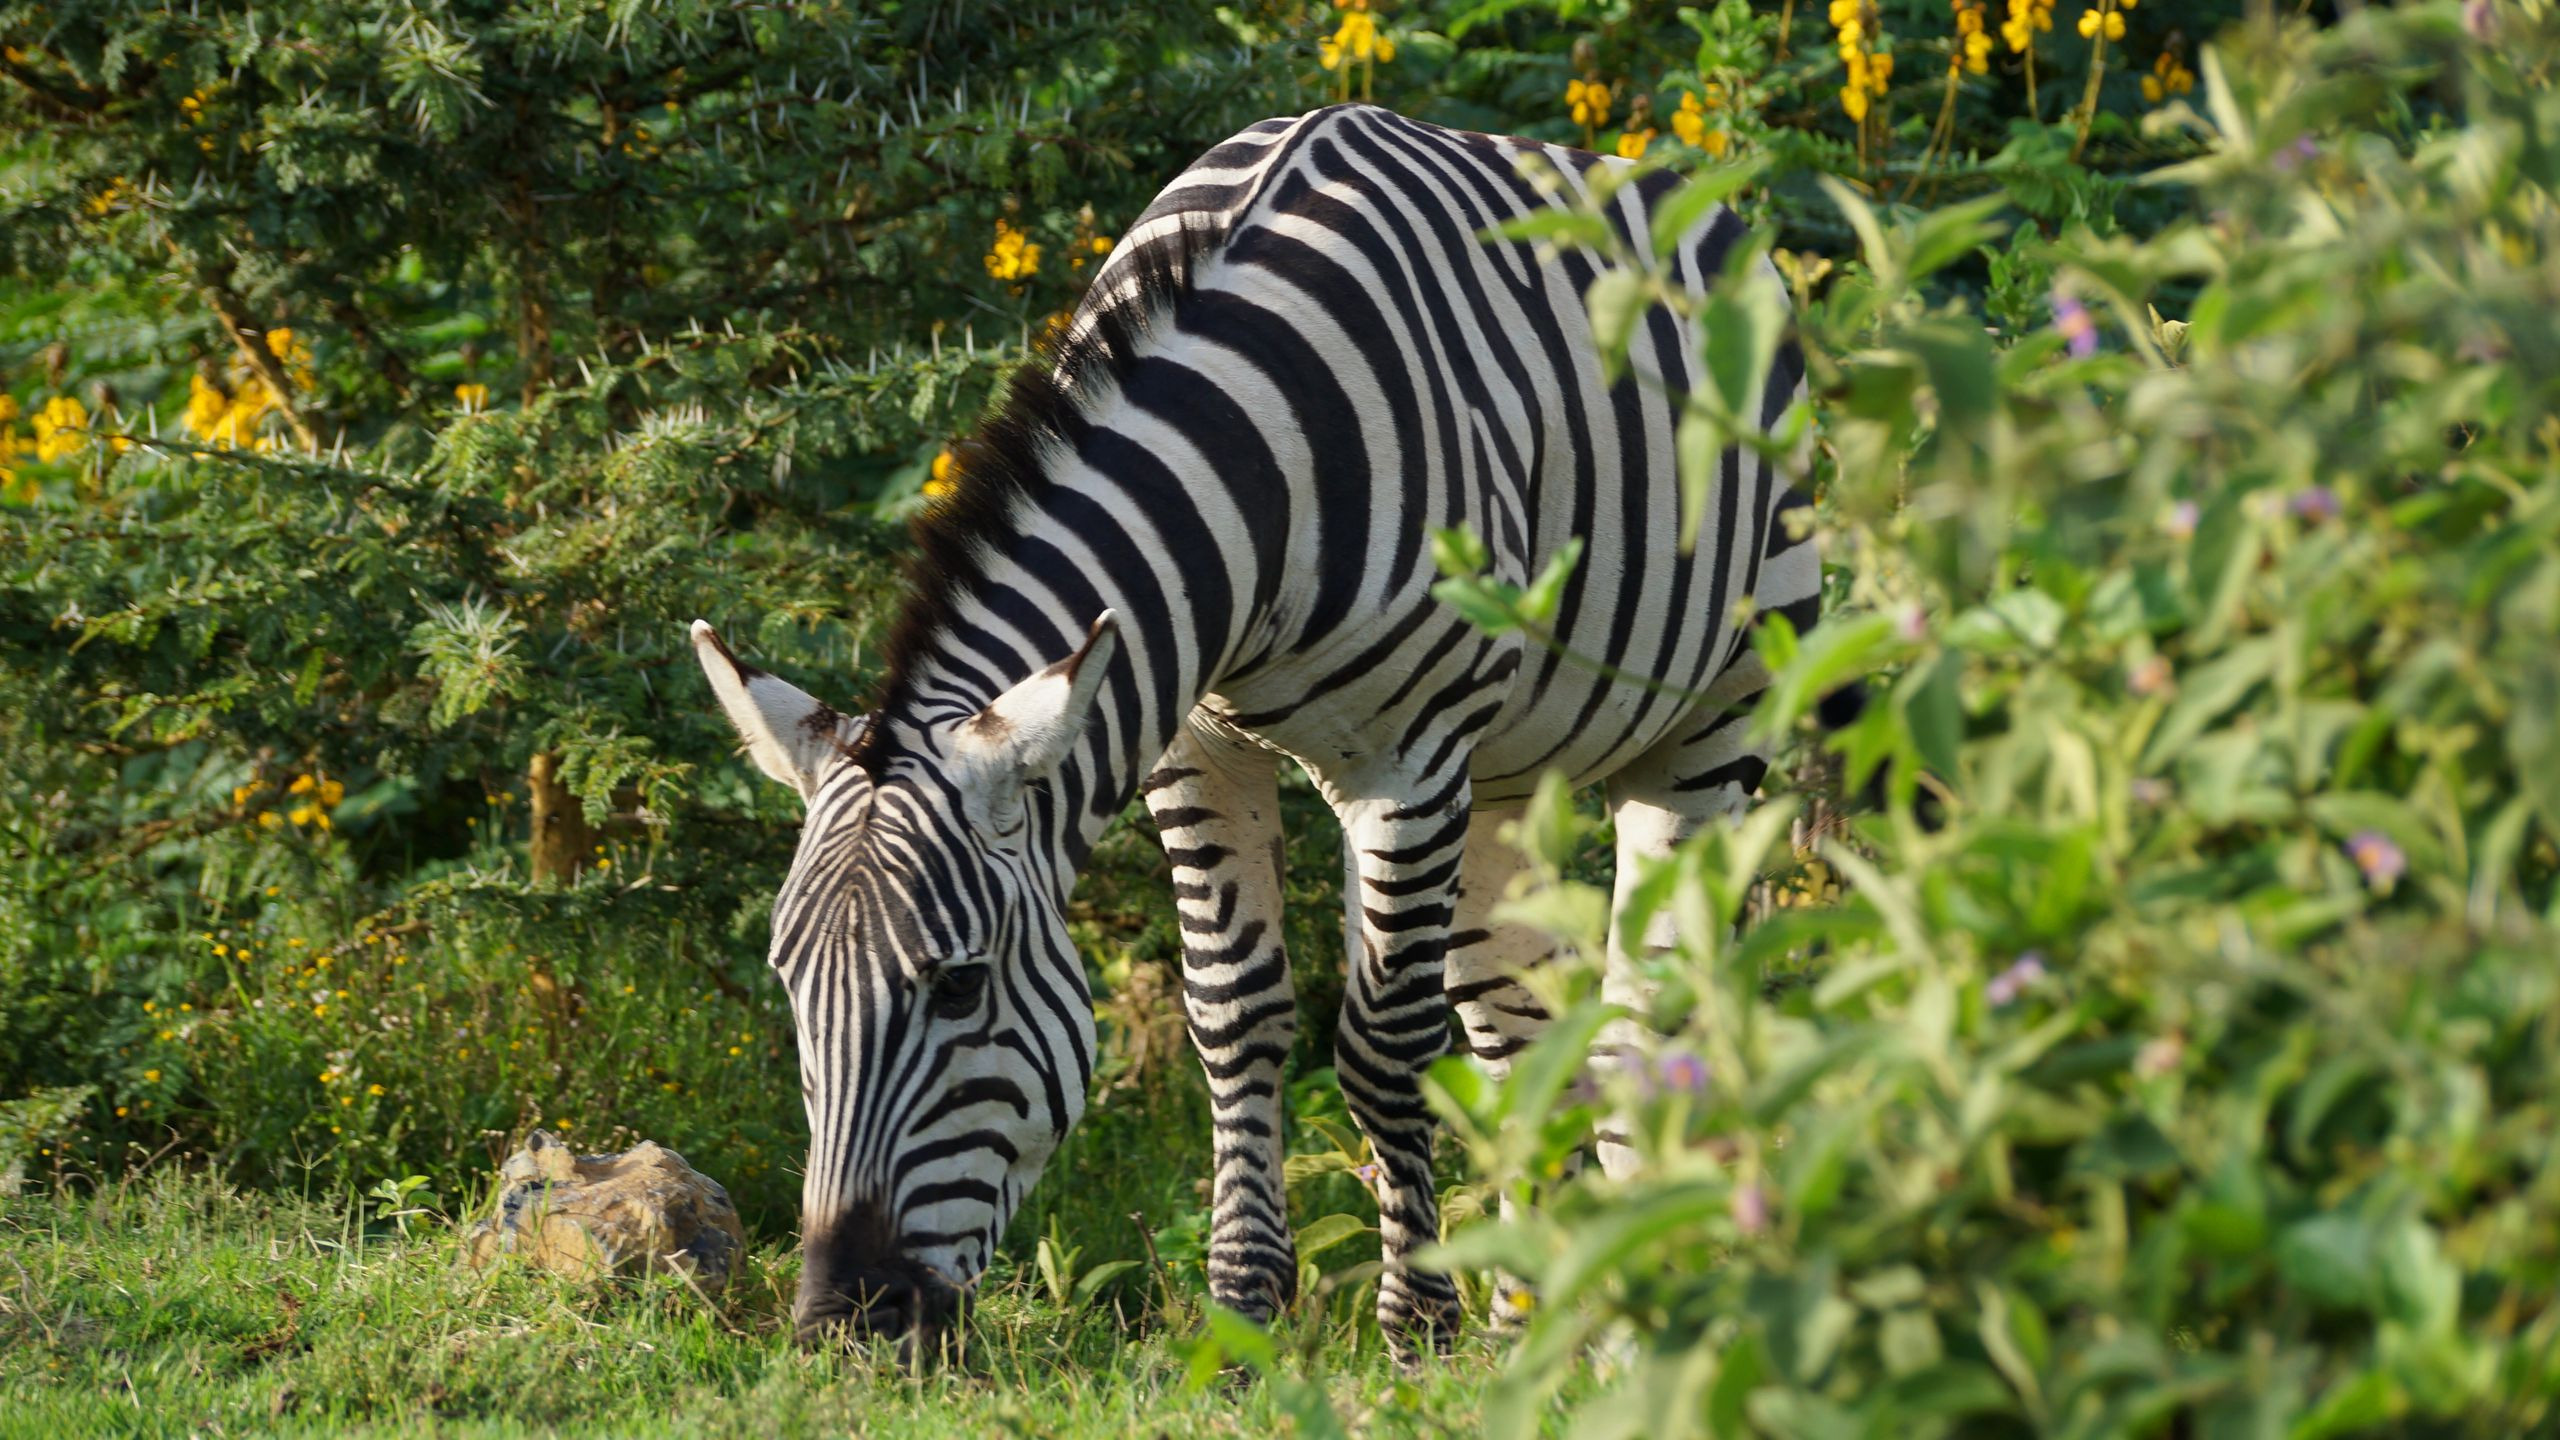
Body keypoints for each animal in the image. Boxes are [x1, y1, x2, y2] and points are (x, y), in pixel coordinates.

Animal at [689, 101, 1818, 1356]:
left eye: (958, 987)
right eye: (791, 984)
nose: (840, 1323)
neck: (1258, 452)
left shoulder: (1408, 763)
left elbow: (1381, 1043)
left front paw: (1417, 1326)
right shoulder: (1193, 747)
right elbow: (1235, 1017)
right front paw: (1242, 1314)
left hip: (1716, 720)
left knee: (1645, 1011)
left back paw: (1650, 1301)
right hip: (1506, 774)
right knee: (1520, 1019)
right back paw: (1539, 1313)